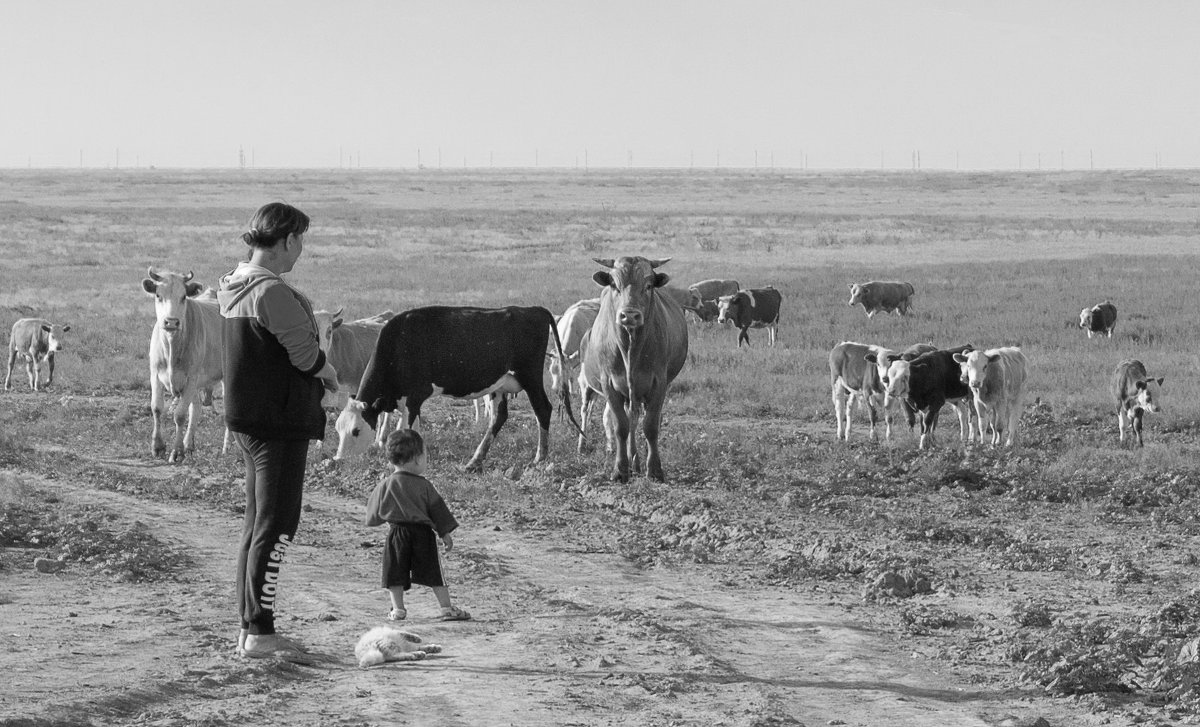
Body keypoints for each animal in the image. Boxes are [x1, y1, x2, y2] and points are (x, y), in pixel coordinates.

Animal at [141, 271, 225, 465]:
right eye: (158, 295)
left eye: (183, 297)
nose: (171, 322)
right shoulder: (155, 374)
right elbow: (156, 408)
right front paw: (158, 447)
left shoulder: (191, 378)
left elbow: (179, 415)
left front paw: (177, 452)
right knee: (196, 407)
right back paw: (189, 445)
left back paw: (227, 447)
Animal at [331, 304, 578, 470]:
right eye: (337, 429)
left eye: (356, 430)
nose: (338, 460)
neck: (400, 343)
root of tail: (532, 310)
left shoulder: (414, 398)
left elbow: (408, 429)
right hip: (500, 385)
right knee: (499, 417)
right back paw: (475, 461)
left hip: (530, 377)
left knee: (543, 409)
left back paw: (540, 457)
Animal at [583, 257, 691, 484]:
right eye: (614, 284)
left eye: (648, 286)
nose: (629, 315)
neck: (630, 347)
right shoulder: (610, 384)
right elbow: (621, 426)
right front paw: (620, 470)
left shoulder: (659, 383)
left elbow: (650, 426)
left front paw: (655, 469)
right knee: (630, 420)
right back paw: (632, 462)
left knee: (637, 418)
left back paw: (637, 462)